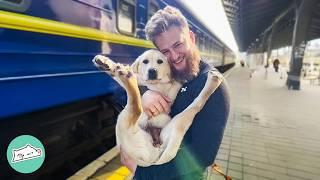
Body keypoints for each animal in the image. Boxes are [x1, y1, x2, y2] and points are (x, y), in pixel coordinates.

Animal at [92, 49, 222, 166]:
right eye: (145, 61)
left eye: (160, 61)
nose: (152, 71)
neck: (156, 84)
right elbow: (133, 78)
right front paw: (105, 64)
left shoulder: (166, 92)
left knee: (137, 107)